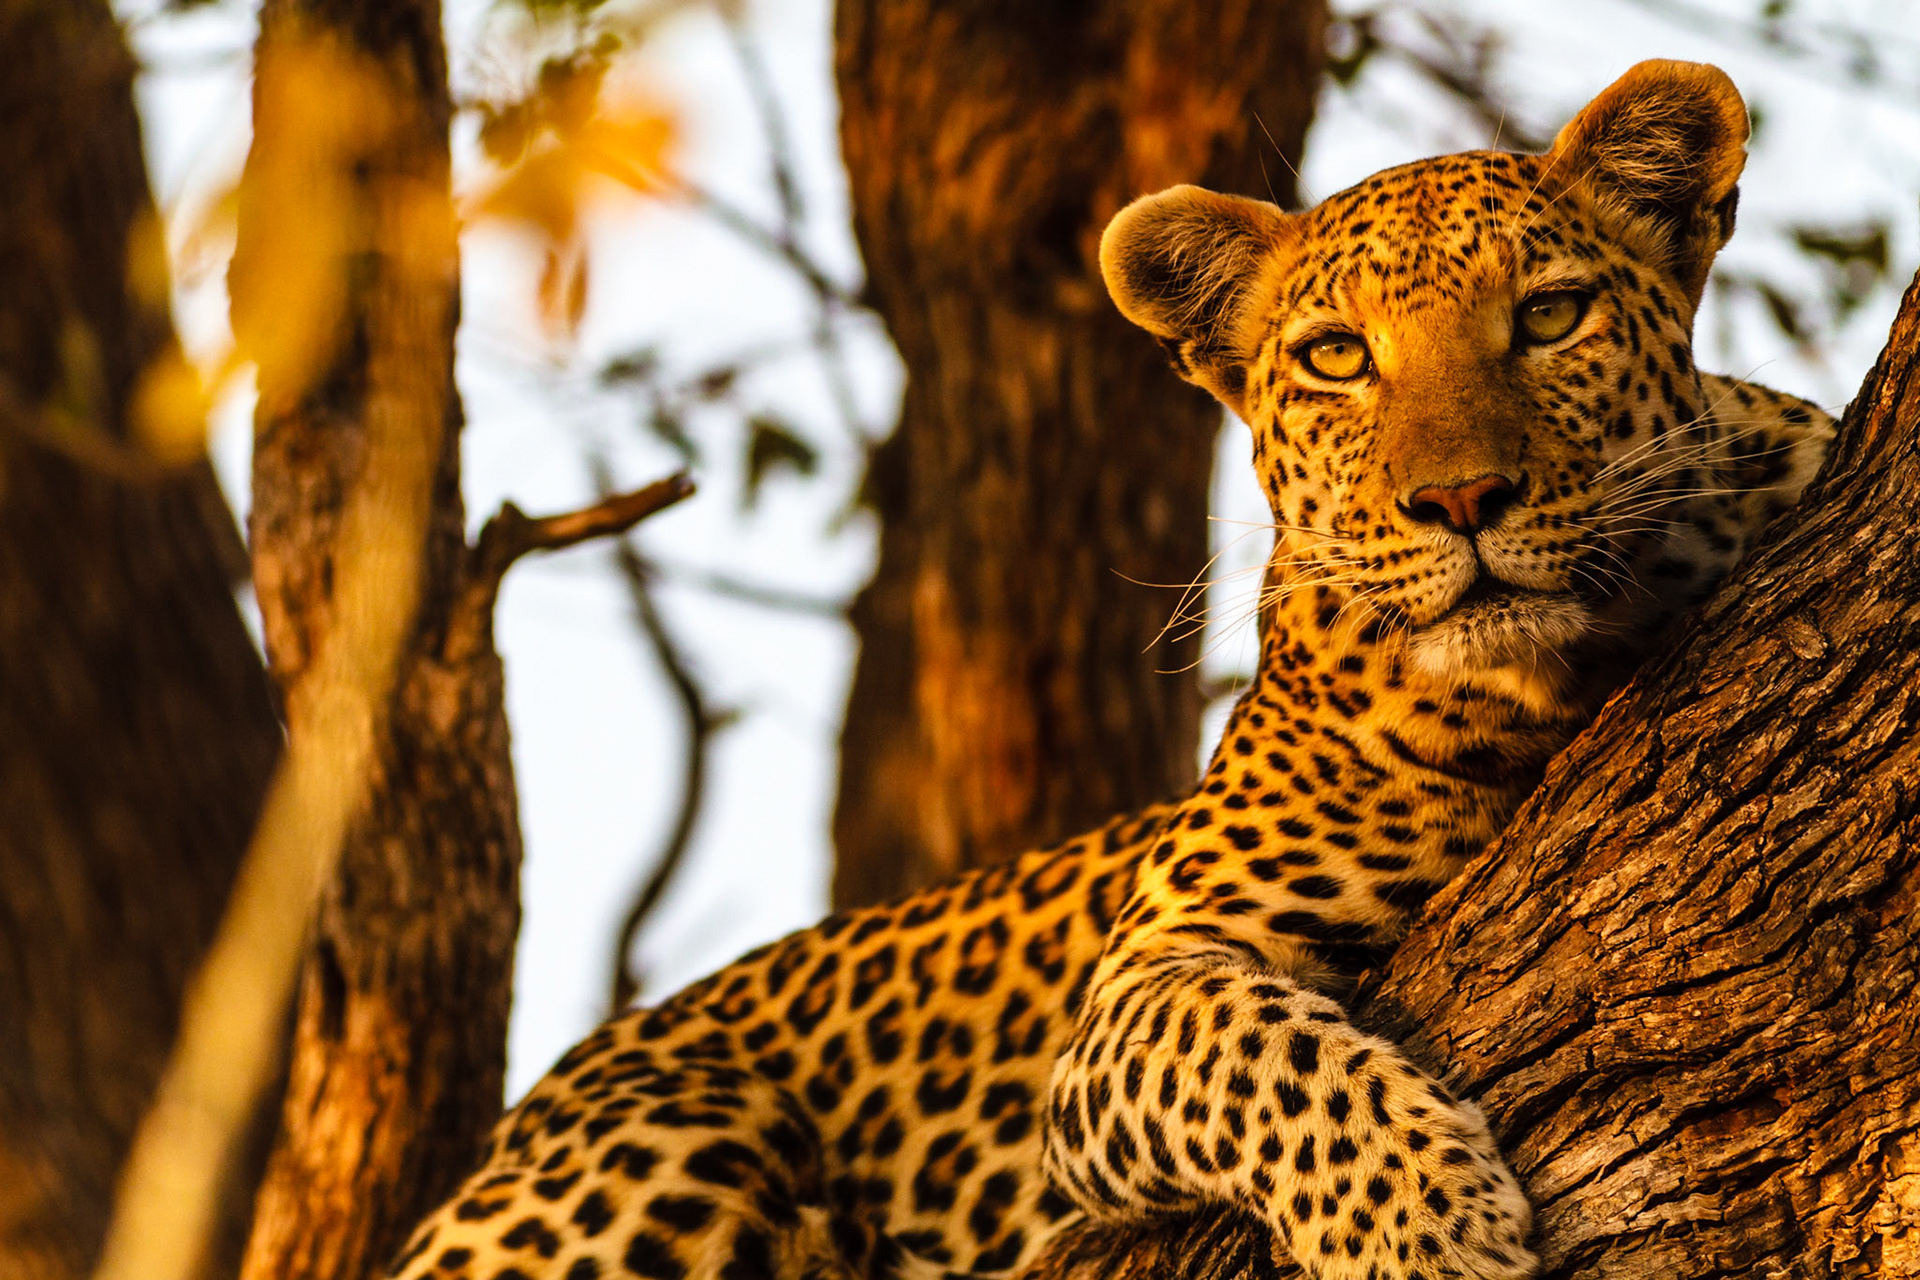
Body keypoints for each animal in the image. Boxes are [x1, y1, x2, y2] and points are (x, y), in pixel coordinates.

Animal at [390, 59, 1832, 1280]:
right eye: (1336, 356)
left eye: (1550, 315)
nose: (1461, 499)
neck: (1545, 692)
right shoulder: (1137, 991)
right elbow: (1262, 1053)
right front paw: (1424, 1223)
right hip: (674, 1134)